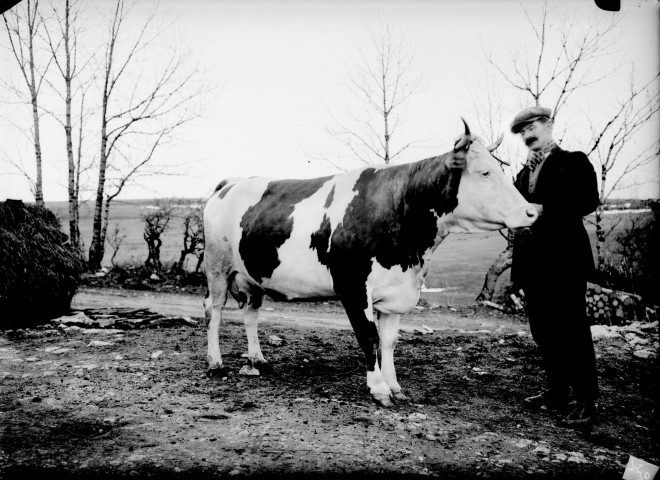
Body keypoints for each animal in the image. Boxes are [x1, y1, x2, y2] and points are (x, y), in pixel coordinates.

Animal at [202, 119, 536, 404]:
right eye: (484, 173)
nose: (532, 211)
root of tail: (232, 183)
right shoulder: (352, 287)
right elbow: (369, 337)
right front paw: (378, 389)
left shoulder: (395, 290)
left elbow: (388, 342)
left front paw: (395, 386)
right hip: (217, 267)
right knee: (214, 310)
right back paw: (215, 363)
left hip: (254, 274)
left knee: (250, 312)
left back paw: (258, 359)